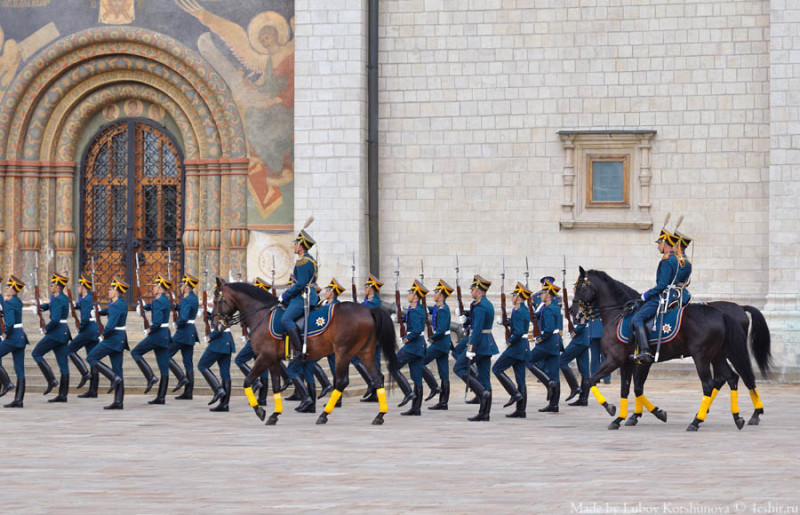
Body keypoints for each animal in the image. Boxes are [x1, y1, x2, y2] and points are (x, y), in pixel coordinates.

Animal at [214, 280, 398, 426]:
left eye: (216, 300)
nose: (217, 324)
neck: (261, 315)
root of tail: (368, 311)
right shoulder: (273, 360)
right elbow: (275, 386)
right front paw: (274, 414)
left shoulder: (264, 357)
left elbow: (247, 381)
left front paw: (259, 410)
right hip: (364, 352)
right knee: (377, 378)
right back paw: (379, 415)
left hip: (343, 353)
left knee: (341, 382)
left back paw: (324, 415)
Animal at [572, 268, 760, 434]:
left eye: (580, 287)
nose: (574, 313)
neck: (619, 314)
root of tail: (722, 313)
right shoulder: (628, 363)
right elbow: (628, 389)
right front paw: (624, 418)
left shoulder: (615, 360)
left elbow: (592, 380)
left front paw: (611, 408)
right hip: (717, 356)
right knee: (731, 378)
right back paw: (737, 417)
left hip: (702, 357)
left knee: (710, 384)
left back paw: (696, 421)